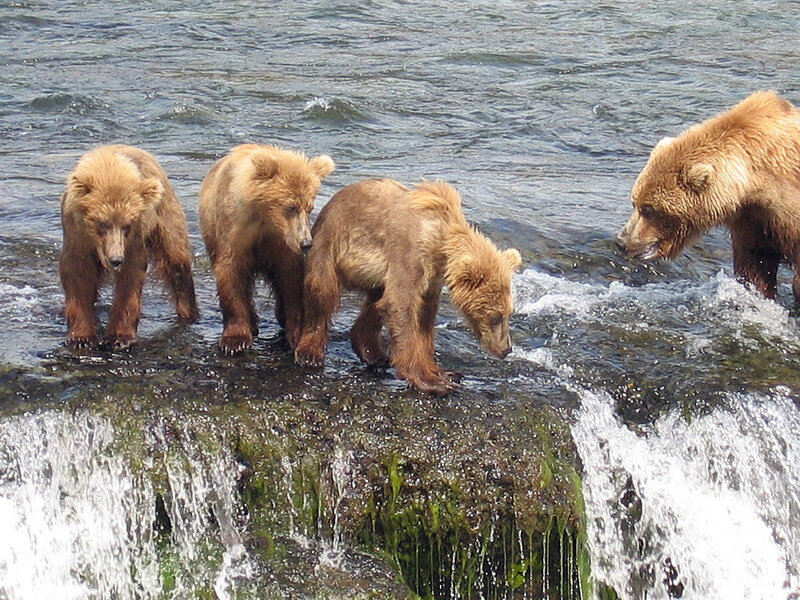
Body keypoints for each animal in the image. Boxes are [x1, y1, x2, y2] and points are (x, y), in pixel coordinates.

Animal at [59, 144, 199, 350]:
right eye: (102, 223)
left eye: (127, 225)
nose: (116, 260)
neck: (108, 167)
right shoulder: (76, 235)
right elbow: (77, 275)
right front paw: (80, 337)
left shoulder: (133, 241)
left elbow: (130, 279)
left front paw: (119, 337)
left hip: (165, 215)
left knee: (176, 261)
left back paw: (188, 313)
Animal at [198, 143, 334, 355]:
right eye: (291, 207)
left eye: (309, 208)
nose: (306, 243)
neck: (265, 216)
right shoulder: (235, 229)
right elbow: (231, 272)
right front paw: (235, 340)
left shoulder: (282, 242)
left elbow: (290, 279)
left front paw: (295, 333)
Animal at [293, 179, 522, 395]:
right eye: (495, 316)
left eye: (509, 313)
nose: (507, 349)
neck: (438, 242)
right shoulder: (409, 255)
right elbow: (402, 307)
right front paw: (430, 382)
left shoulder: (431, 279)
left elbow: (423, 320)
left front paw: (444, 373)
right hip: (329, 245)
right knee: (321, 294)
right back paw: (310, 353)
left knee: (375, 303)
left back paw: (373, 353)